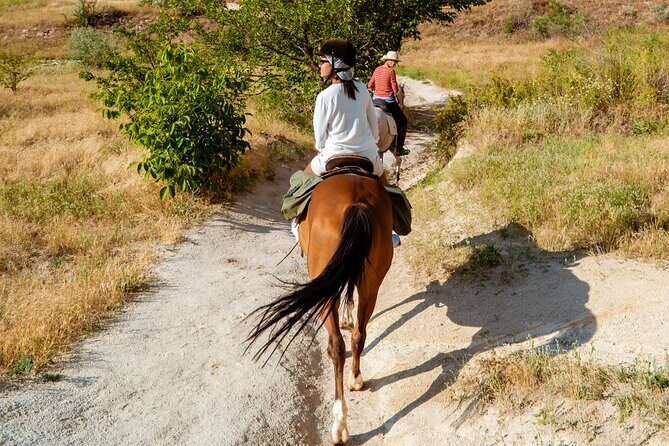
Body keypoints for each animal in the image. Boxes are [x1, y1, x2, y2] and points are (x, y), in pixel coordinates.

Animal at [246, 159, 394, 444]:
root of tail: (357, 203)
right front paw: (348, 318)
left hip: (327, 285)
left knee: (337, 345)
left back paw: (339, 426)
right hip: (372, 283)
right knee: (359, 334)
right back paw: (356, 380)